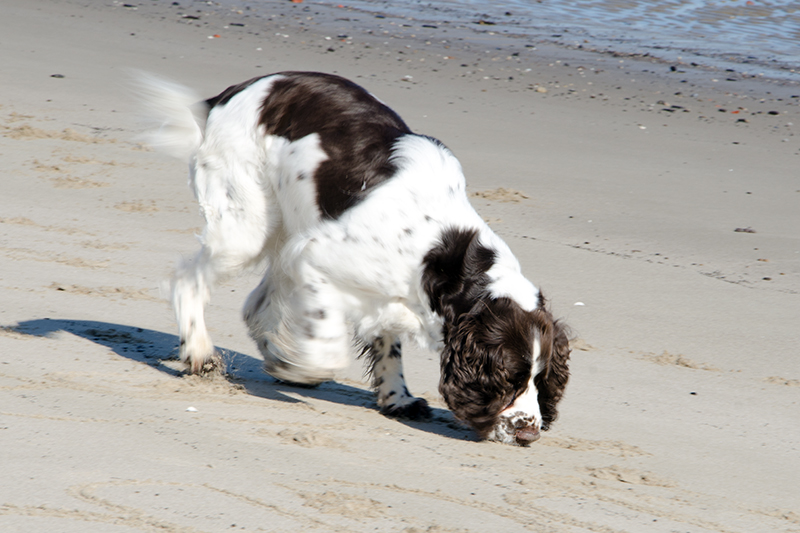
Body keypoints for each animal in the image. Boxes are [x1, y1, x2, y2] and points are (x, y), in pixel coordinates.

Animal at [141, 70, 572, 444]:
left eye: (539, 379)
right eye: (508, 377)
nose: (530, 433)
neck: (440, 251)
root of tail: (226, 96)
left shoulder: (376, 288)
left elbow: (386, 344)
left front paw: (397, 398)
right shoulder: (315, 256)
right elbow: (329, 341)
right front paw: (297, 365)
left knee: (256, 304)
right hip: (246, 229)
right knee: (189, 280)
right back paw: (200, 352)